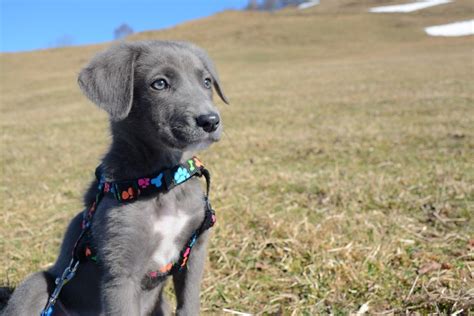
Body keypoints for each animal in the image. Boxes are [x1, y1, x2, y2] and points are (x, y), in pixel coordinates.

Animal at [1, 40, 228, 314]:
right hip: (37, 284)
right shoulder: (121, 272)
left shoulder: (195, 250)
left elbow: (189, 303)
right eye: (159, 84)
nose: (211, 121)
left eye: (206, 82)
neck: (162, 180)